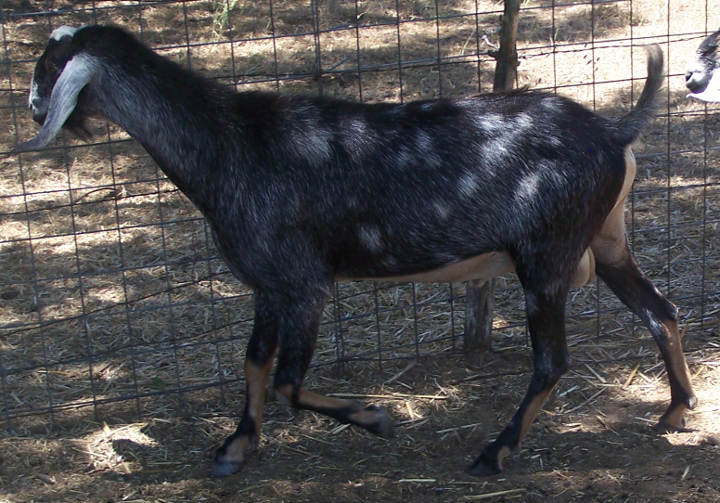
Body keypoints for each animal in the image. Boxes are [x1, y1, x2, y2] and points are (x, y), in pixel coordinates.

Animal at [14, 25, 696, 478]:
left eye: (49, 66)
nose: (30, 106)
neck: (230, 142)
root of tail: (612, 130)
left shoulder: (305, 283)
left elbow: (288, 383)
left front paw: (376, 418)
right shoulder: (269, 283)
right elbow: (254, 364)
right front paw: (235, 447)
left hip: (547, 259)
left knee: (553, 362)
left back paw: (495, 451)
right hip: (605, 240)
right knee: (660, 311)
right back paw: (676, 410)